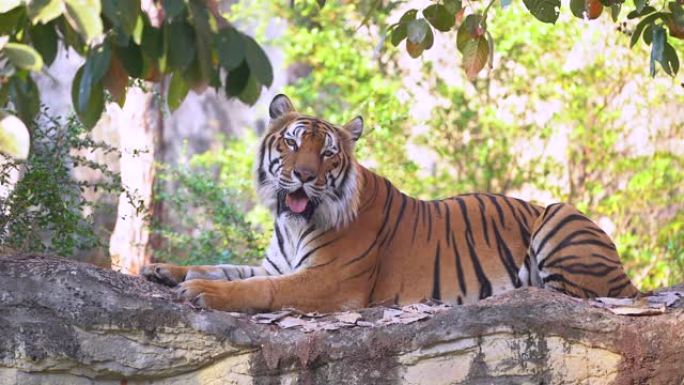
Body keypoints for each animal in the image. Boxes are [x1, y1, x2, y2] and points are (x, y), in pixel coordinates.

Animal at [142, 94, 640, 312]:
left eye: (327, 154)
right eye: (292, 142)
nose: (304, 176)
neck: (293, 223)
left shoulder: (329, 281)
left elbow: (257, 289)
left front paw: (202, 293)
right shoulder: (276, 264)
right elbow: (221, 267)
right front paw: (163, 269)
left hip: (559, 216)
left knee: (577, 294)